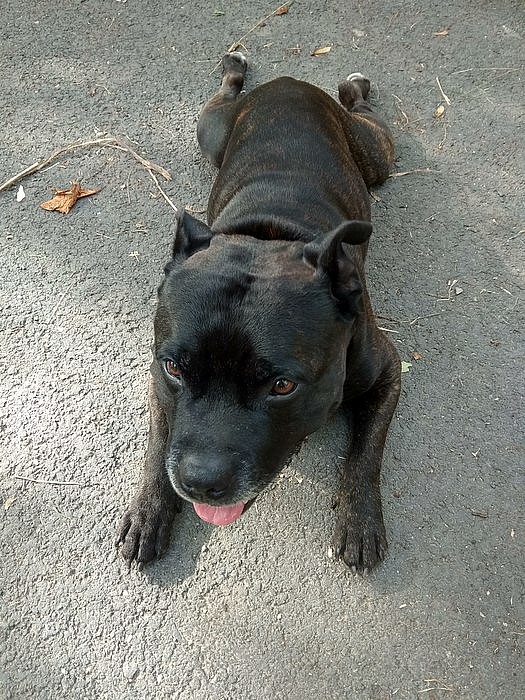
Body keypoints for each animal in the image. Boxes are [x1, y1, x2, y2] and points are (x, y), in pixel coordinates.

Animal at [117, 52, 401, 574]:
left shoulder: (389, 372)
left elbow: (368, 449)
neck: (268, 238)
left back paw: (351, 87)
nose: (200, 481)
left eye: (282, 386)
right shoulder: (158, 383)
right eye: (174, 369)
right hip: (211, 132)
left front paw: (360, 518)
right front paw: (148, 511)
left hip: (375, 154)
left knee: (367, 116)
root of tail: (289, 84)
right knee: (224, 93)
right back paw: (235, 66)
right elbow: (157, 443)